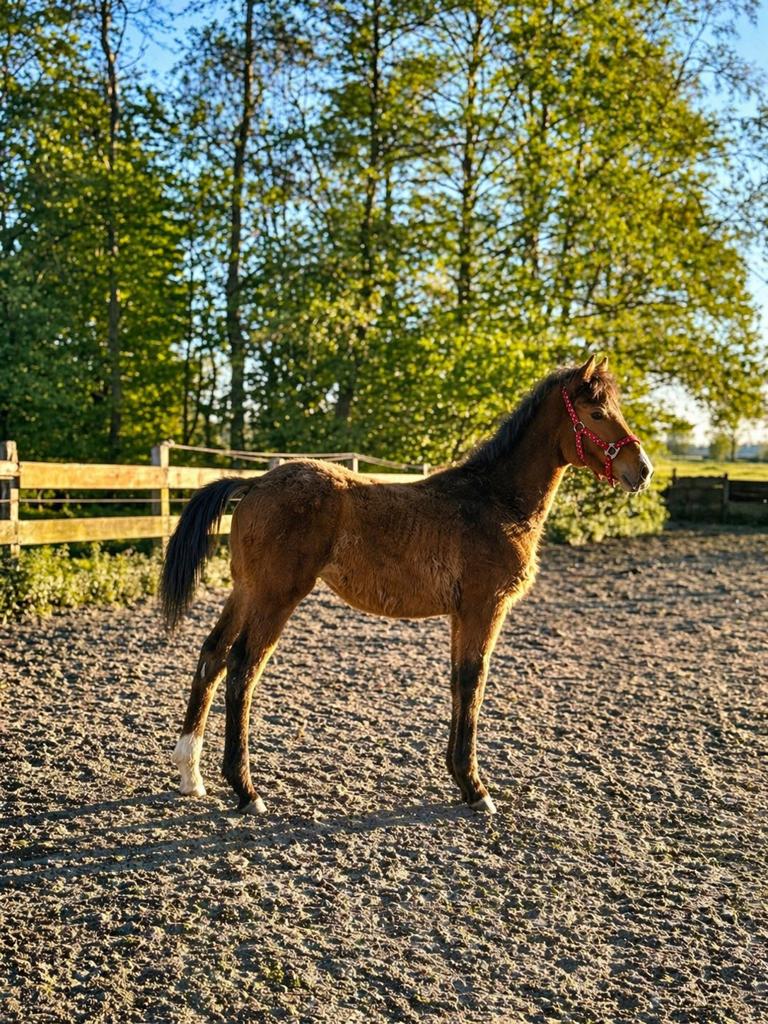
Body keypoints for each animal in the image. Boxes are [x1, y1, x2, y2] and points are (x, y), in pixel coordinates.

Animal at [161, 355, 653, 815]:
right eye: (596, 413)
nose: (643, 470)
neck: (494, 500)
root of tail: (256, 482)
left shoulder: (462, 614)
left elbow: (458, 682)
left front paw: (461, 778)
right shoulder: (485, 608)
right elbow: (474, 681)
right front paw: (476, 789)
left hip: (246, 590)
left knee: (212, 656)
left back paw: (191, 774)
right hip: (275, 597)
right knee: (243, 668)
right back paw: (246, 791)